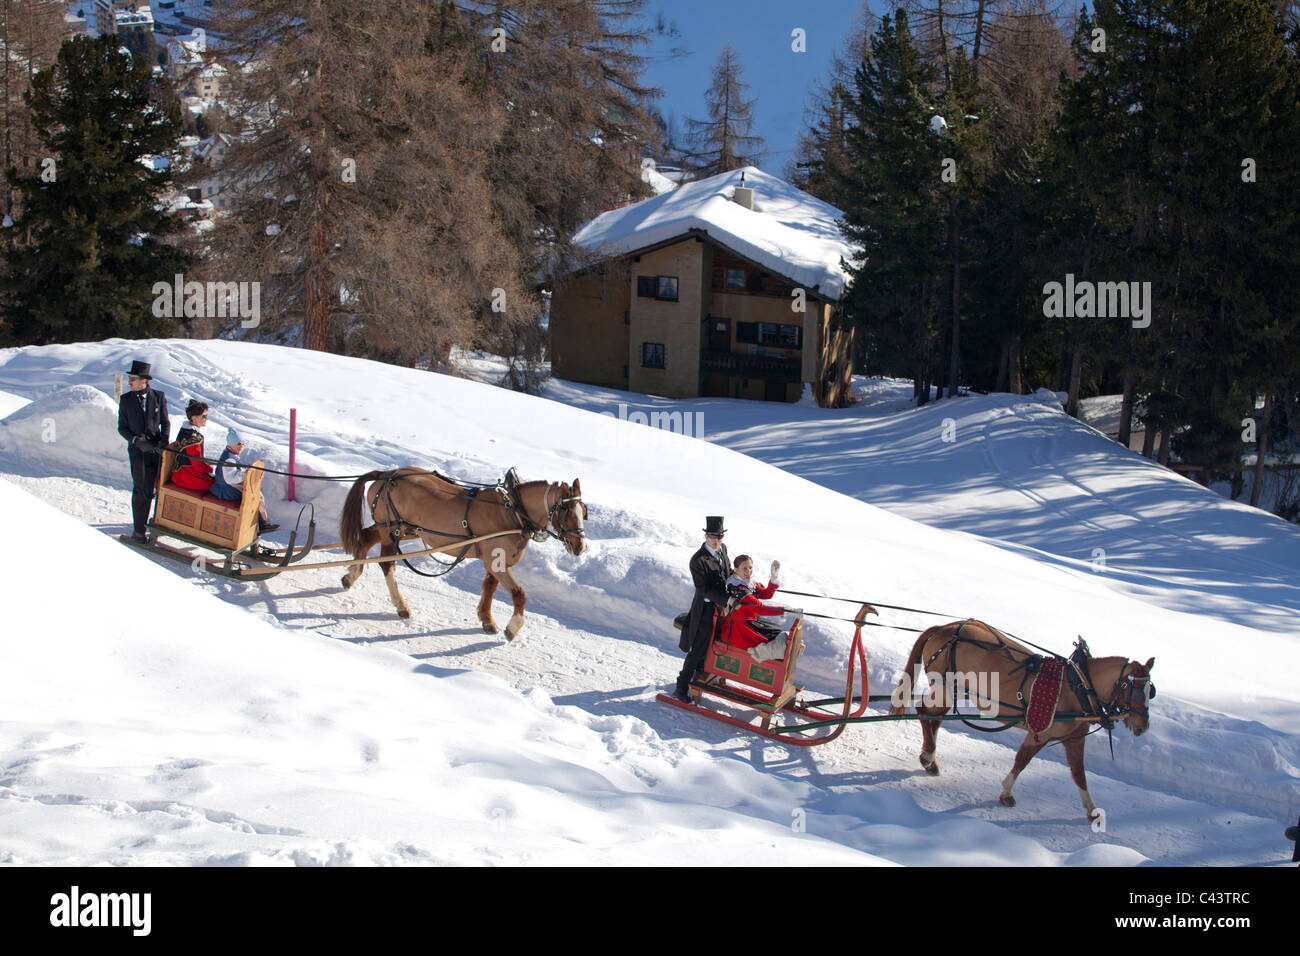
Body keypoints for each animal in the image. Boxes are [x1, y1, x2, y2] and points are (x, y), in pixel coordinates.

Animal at [338, 468, 586, 639]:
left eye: (583, 511)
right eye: (566, 510)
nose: (580, 546)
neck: (514, 512)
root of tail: (386, 474)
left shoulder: (496, 562)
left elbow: (489, 588)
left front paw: (487, 620)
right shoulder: (498, 563)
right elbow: (519, 594)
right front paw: (512, 628)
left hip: (404, 529)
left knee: (366, 537)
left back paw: (350, 576)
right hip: (391, 529)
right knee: (387, 564)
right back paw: (401, 605)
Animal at [889, 619, 1155, 822]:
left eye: (1150, 691)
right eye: (1131, 688)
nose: (1142, 727)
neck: (1078, 686)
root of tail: (944, 628)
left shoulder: (1074, 739)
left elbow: (1079, 774)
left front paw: (1091, 810)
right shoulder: (1040, 733)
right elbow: (1022, 760)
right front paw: (1006, 792)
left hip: (952, 690)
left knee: (934, 718)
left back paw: (930, 759)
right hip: (944, 686)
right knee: (924, 712)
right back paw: (928, 757)